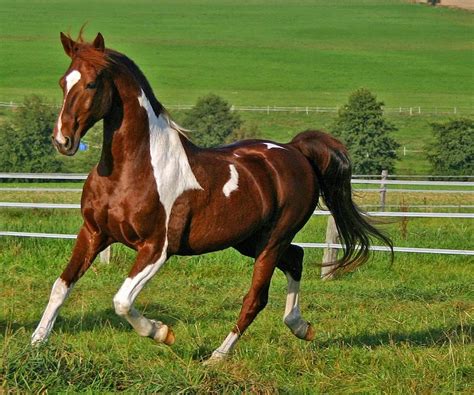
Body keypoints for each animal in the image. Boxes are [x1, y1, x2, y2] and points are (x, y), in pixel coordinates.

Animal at [30, 32, 392, 364]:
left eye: (91, 84)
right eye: (63, 82)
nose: (62, 140)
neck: (133, 168)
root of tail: (295, 151)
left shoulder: (156, 248)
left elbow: (122, 301)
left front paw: (162, 332)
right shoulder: (94, 232)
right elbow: (61, 286)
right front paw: (36, 343)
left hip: (272, 241)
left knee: (256, 297)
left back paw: (217, 356)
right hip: (249, 240)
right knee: (296, 258)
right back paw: (301, 327)